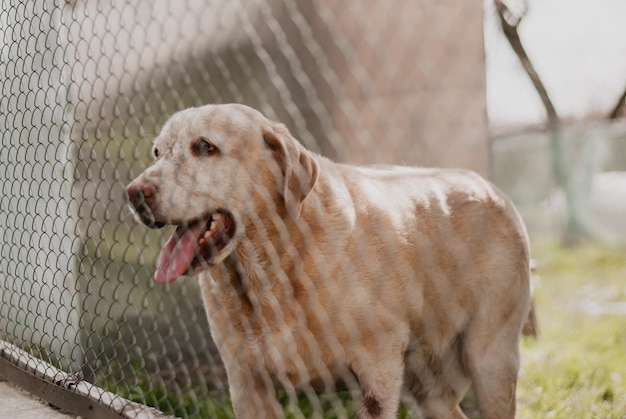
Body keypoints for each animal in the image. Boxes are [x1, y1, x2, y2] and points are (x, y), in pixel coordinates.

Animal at [127, 103, 532, 418]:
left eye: (204, 146)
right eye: (157, 153)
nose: (134, 194)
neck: (271, 273)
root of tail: (488, 187)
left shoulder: (378, 372)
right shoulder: (247, 384)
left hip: (491, 358)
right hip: (428, 385)